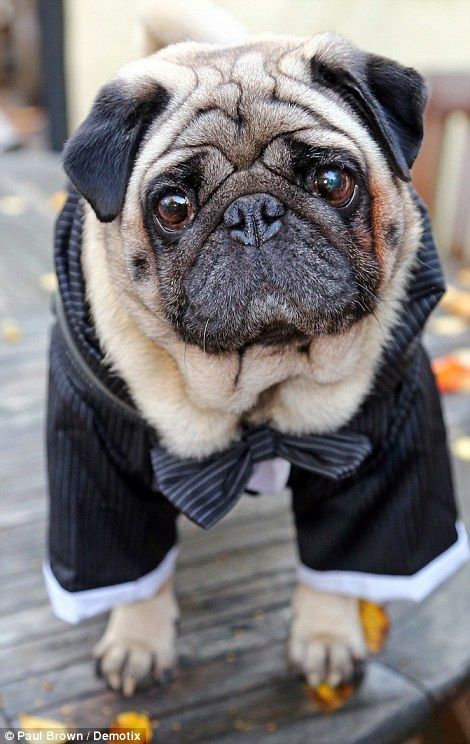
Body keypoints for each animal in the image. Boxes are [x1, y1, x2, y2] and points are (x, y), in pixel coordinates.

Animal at [45, 33, 466, 696]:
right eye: (173, 206)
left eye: (332, 180)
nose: (252, 215)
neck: (261, 372)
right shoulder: (90, 450)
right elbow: (129, 568)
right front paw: (138, 642)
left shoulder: (389, 442)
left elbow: (344, 563)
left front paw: (327, 637)